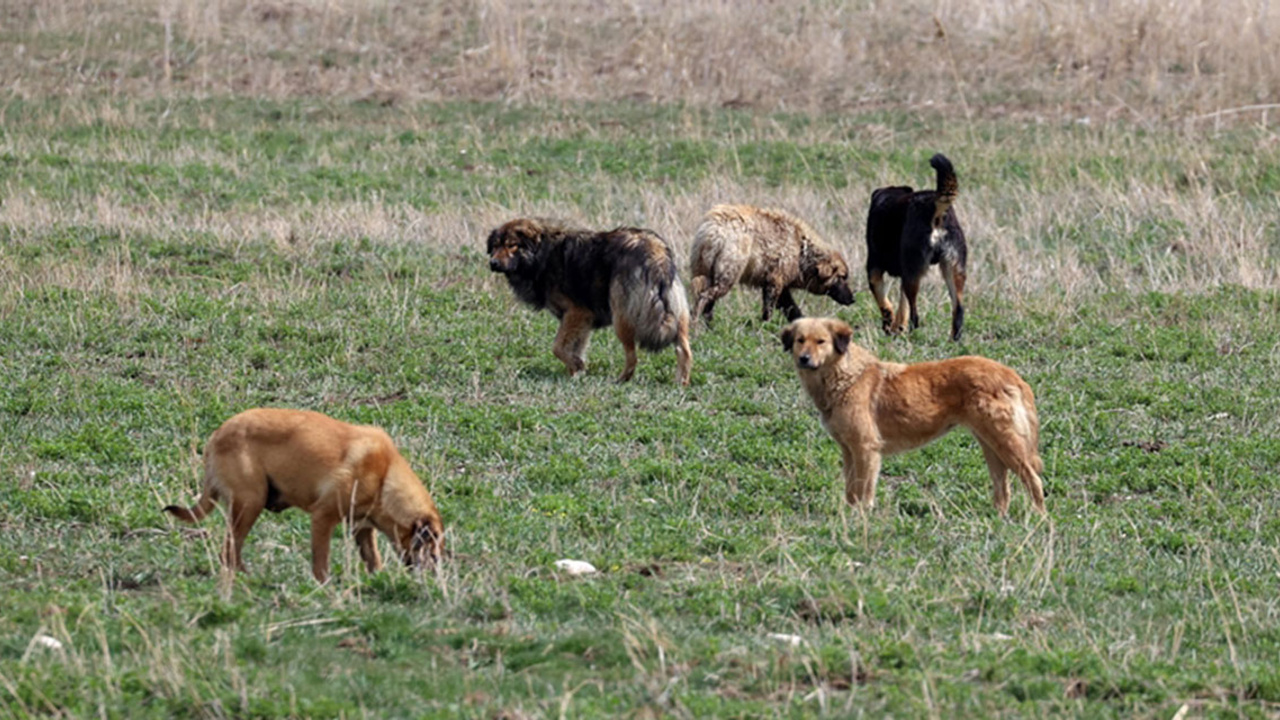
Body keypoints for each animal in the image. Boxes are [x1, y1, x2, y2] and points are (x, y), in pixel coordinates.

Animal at [165, 407, 445, 579]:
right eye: (432, 553)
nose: (436, 578)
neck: (385, 477)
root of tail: (216, 437)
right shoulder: (323, 517)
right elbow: (321, 563)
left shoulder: (362, 528)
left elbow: (373, 560)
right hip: (249, 504)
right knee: (228, 553)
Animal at [486, 215, 691, 384]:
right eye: (495, 246)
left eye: (512, 245)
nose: (493, 263)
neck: (542, 253)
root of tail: (656, 251)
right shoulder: (582, 320)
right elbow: (572, 348)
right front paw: (576, 374)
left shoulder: (576, 313)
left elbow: (557, 348)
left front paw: (577, 366)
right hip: (677, 316)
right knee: (684, 351)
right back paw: (681, 383)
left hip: (621, 319)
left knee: (633, 356)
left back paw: (621, 380)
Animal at [691, 202, 860, 325]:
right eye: (842, 277)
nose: (852, 299)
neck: (801, 252)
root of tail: (712, 229)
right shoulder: (775, 280)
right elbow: (770, 308)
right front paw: (765, 325)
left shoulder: (781, 283)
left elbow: (792, 309)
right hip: (729, 273)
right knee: (705, 296)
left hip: (705, 270)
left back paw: (708, 325)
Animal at [778, 316, 1049, 512]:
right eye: (800, 340)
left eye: (821, 341)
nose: (804, 359)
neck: (844, 376)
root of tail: (1011, 375)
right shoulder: (849, 450)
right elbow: (850, 489)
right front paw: (849, 515)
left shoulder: (866, 448)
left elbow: (864, 490)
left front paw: (861, 518)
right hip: (991, 446)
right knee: (1003, 489)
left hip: (1006, 444)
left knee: (1034, 480)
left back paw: (1038, 519)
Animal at [860, 150, 967, 338]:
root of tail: (935, 207)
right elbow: (901, 307)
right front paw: (897, 327)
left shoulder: (874, 268)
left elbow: (884, 302)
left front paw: (889, 325)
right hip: (953, 270)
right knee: (958, 311)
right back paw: (953, 339)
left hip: (913, 270)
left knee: (915, 314)